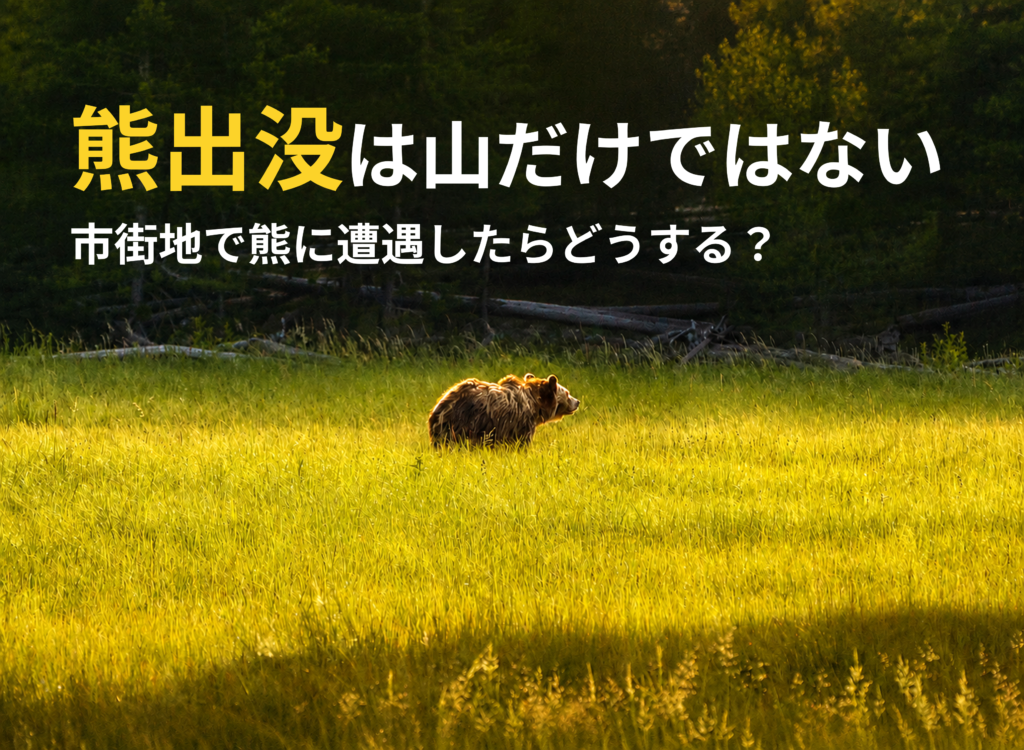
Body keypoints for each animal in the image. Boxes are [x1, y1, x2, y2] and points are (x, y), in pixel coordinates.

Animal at [428, 373, 580, 448]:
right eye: (567, 393)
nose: (577, 401)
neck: (535, 405)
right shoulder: (519, 424)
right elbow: (520, 445)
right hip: (462, 423)